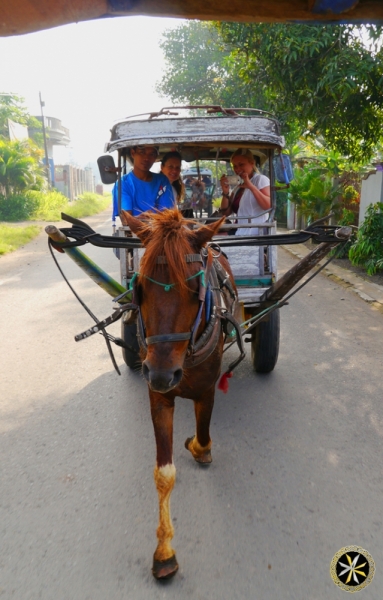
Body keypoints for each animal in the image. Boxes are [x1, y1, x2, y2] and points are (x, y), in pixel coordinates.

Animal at [120, 209, 242, 580]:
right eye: (139, 289)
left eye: (195, 290)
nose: (161, 374)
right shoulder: (158, 397)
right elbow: (164, 474)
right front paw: (164, 552)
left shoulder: (207, 390)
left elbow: (202, 438)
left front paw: (197, 448)